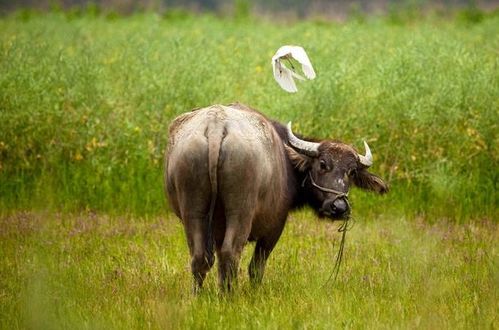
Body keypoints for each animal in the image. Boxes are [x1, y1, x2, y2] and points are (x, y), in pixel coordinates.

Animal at [166, 103, 388, 292]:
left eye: (351, 172)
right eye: (323, 164)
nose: (339, 207)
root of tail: (215, 127)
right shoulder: (274, 227)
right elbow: (256, 268)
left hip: (193, 211)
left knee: (200, 258)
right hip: (240, 212)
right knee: (231, 253)